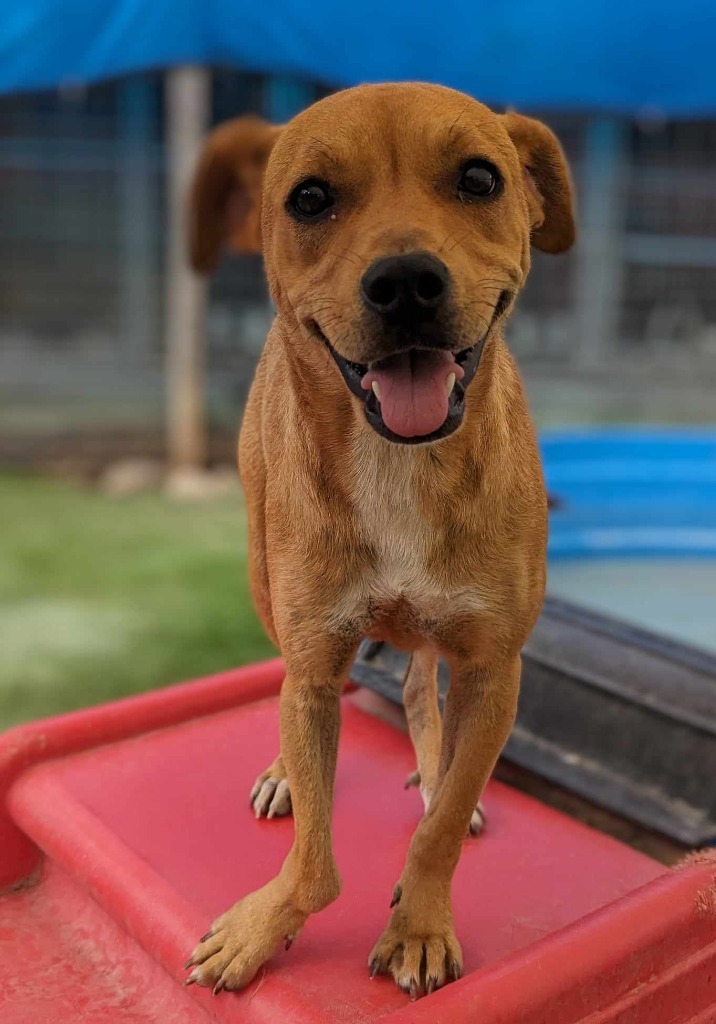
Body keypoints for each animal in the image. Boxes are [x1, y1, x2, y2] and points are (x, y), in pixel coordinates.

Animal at [184, 81, 577, 999]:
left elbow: (438, 828)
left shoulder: (494, 668)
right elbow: (315, 861)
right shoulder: (314, 662)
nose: (405, 283)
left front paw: (420, 925)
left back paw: (436, 773)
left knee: (418, 690)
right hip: (266, 586)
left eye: (479, 178)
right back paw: (286, 773)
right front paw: (265, 924)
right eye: (309, 199)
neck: (401, 461)